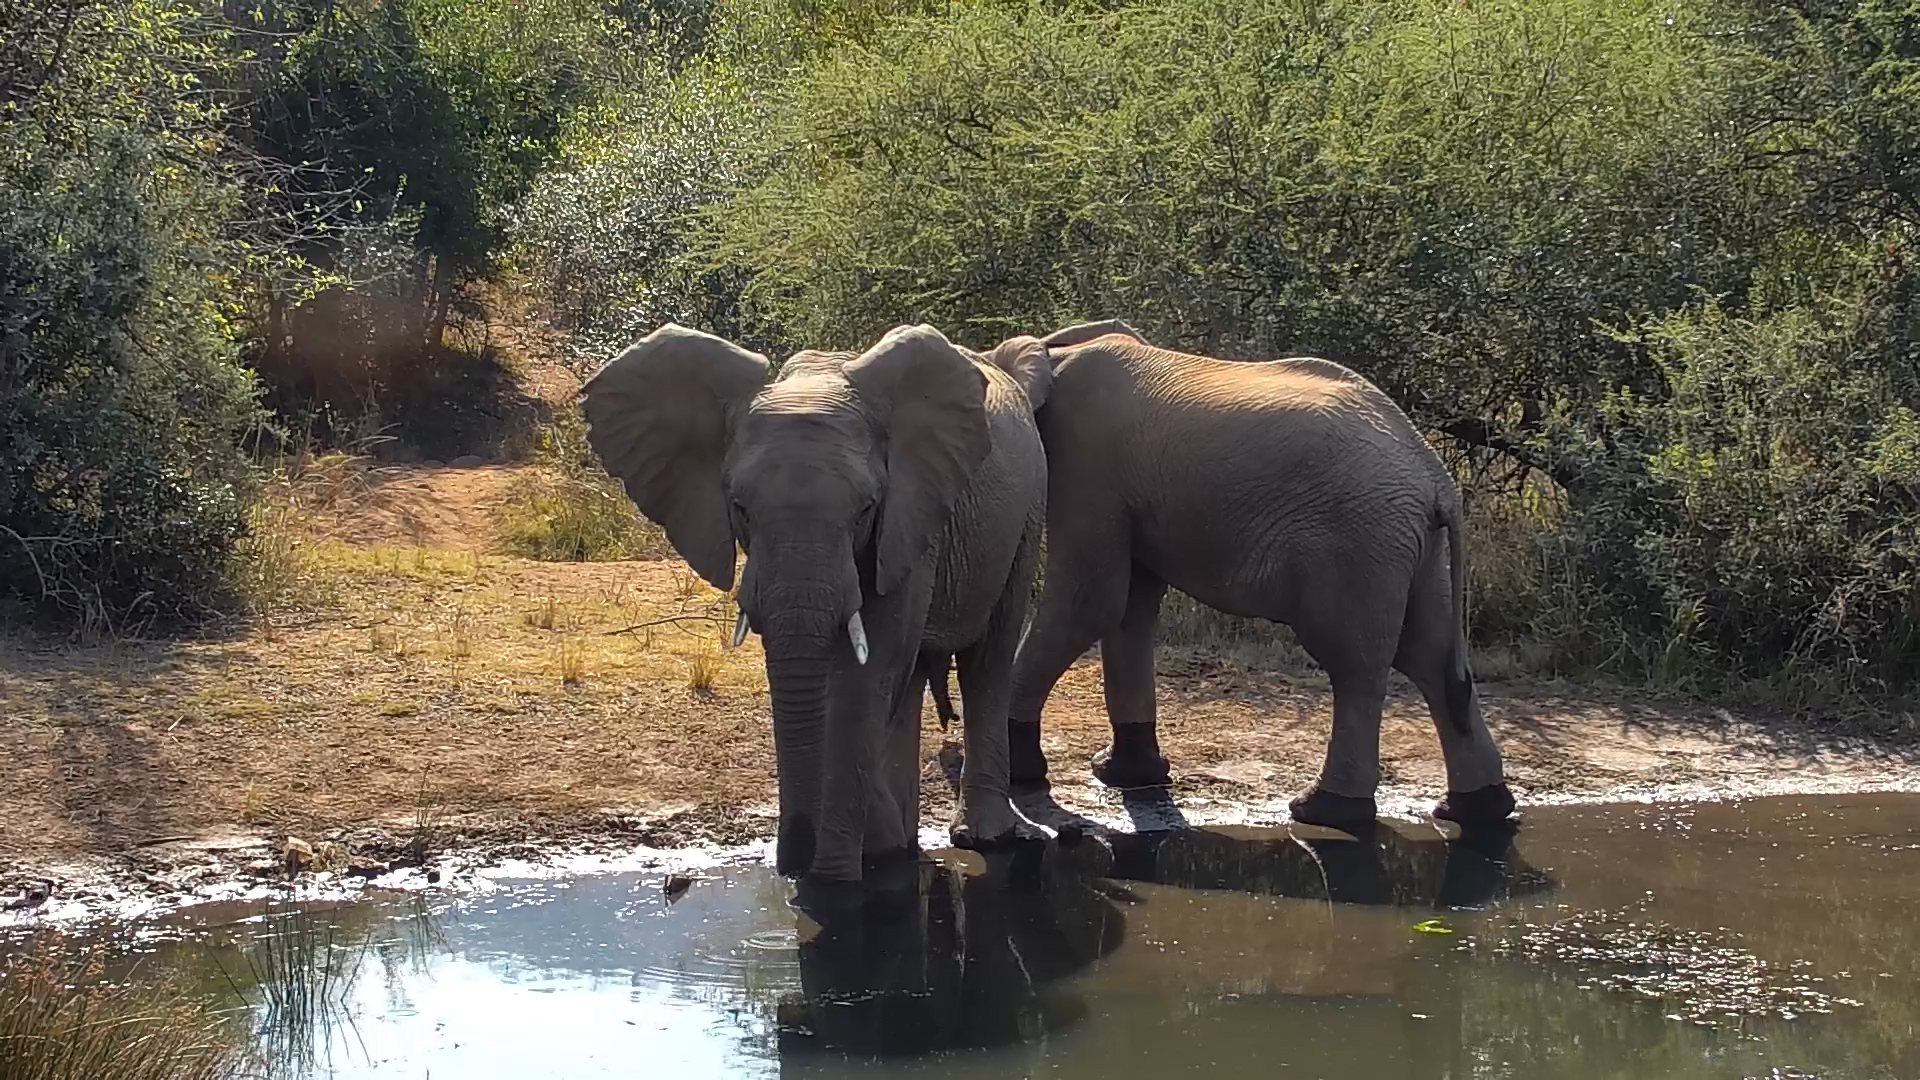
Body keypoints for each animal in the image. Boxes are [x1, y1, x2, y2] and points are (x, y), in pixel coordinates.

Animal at [580, 322, 1050, 886]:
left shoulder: (908, 515)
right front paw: (869, 854)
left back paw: (980, 837)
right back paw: (900, 840)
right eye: (739, 507)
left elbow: (866, 671)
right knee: (913, 675)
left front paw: (834, 881)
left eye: (866, 509)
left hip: (1026, 512)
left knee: (987, 659)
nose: (790, 864)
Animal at [980, 320, 1516, 832]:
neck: (1052, 347)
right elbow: (1131, 608)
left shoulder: (1088, 463)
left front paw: (1024, 774)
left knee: (1356, 662)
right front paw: (1125, 774)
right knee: (1431, 657)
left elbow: (1091, 601)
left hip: (1359, 541)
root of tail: (1436, 478)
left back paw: (1323, 811)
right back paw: (1478, 810)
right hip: (1412, 549)